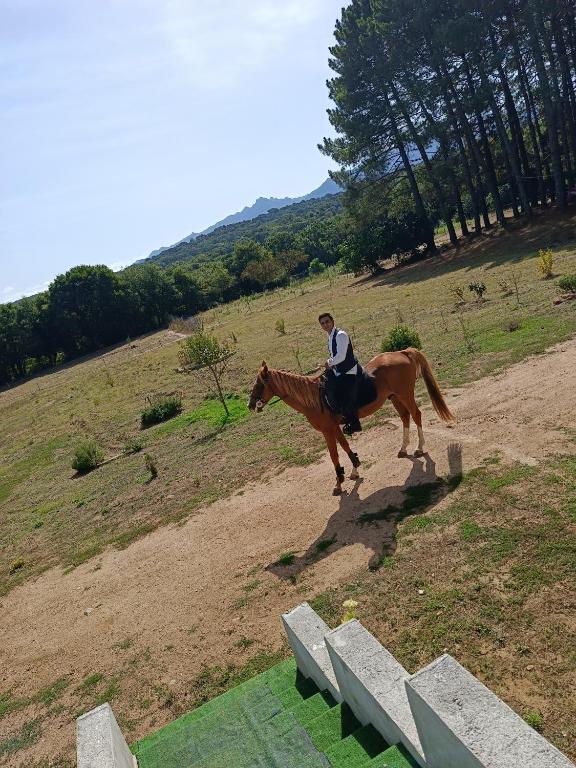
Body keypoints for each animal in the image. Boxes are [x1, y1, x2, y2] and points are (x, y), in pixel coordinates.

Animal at [247, 348, 453, 495]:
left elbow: (334, 455)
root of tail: (401, 352)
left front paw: (339, 483)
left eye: (259, 384)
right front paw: (354, 469)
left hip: (405, 394)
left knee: (416, 415)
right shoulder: (335, 427)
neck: (314, 397)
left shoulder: (327, 430)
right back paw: (403, 449)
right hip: (395, 397)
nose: (250, 405)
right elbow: (345, 447)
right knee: (405, 417)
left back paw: (419, 447)